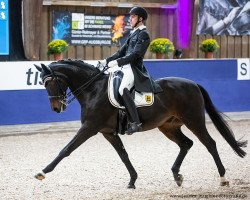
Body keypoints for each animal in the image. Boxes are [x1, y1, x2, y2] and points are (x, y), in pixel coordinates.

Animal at [34, 59, 247, 188]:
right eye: (43, 84)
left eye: (51, 82)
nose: (57, 108)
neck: (93, 90)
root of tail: (193, 83)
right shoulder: (107, 132)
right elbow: (123, 155)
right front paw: (132, 180)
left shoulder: (90, 128)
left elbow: (66, 150)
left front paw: (42, 172)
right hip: (168, 126)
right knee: (186, 144)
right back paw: (176, 175)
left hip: (193, 120)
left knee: (210, 143)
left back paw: (223, 178)